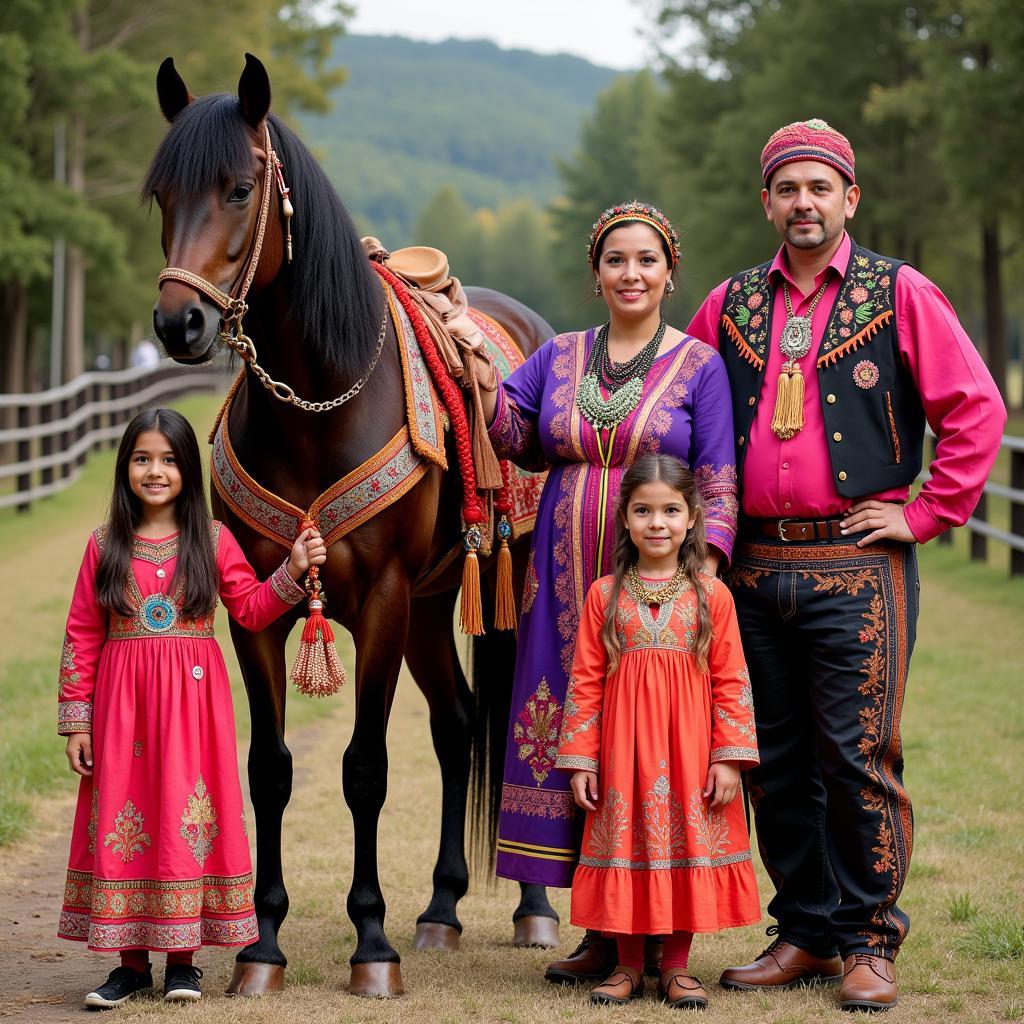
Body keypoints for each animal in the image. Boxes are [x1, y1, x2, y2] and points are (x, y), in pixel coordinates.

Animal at [144, 51, 557, 995]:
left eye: (237, 188)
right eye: (160, 195)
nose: (179, 322)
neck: (318, 403)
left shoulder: (381, 600)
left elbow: (364, 769)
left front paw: (370, 943)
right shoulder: (256, 606)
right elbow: (268, 770)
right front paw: (261, 945)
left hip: (495, 593)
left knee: (507, 725)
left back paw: (531, 908)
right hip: (435, 608)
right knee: (457, 725)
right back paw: (441, 910)